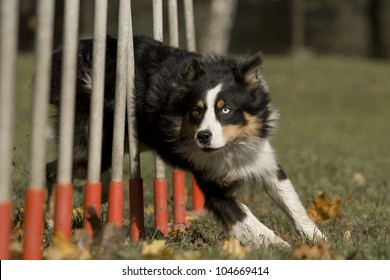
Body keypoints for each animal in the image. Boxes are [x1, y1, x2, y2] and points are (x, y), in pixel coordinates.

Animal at [46, 35, 326, 247]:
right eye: (196, 110)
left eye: (226, 110)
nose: (203, 136)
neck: (230, 146)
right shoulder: (212, 182)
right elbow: (243, 216)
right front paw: (278, 244)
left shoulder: (262, 158)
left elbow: (290, 200)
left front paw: (317, 238)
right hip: (98, 139)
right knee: (54, 169)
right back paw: (51, 220)